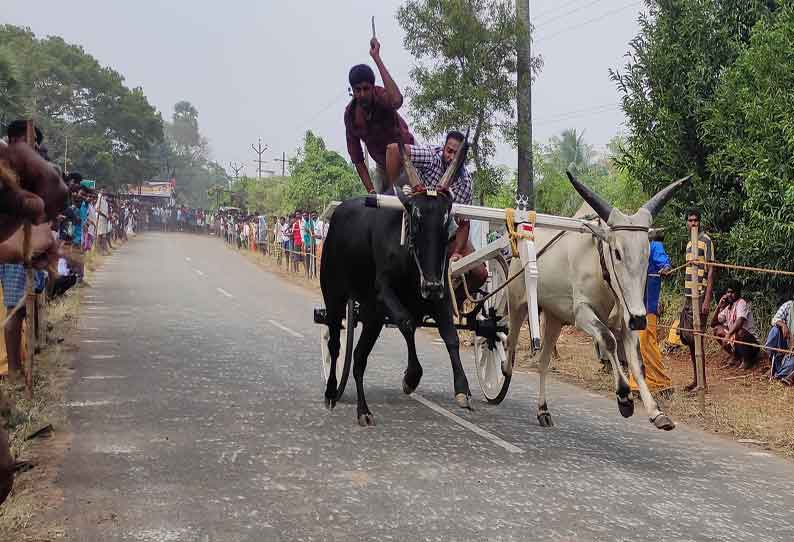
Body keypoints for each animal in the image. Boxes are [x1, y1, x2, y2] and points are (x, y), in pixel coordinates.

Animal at [318, 193, 470, 428]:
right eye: (415, 225)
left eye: (450, 233)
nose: (431, 286)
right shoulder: (385, 293)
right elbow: (407, 324)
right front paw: (412, 377)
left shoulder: (440, 297)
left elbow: (451, 337)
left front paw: (462, 388)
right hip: (334, 298)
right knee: (334, 346)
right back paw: (332, 392)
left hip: (372, 314)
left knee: (359, 357)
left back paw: (363, 410)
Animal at [508, 172, 688, 432]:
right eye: (617, 252)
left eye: (647, 254)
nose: (640, 320)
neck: (599, 267)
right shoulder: (582, 313)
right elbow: (608, 340)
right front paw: (624, 397)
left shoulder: (628, 317)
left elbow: (637, 361)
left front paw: (656, 412)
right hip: (517, 303)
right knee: (507, 343)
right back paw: (499, 376)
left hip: (553, 317)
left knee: (543, 361)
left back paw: (543, 410)